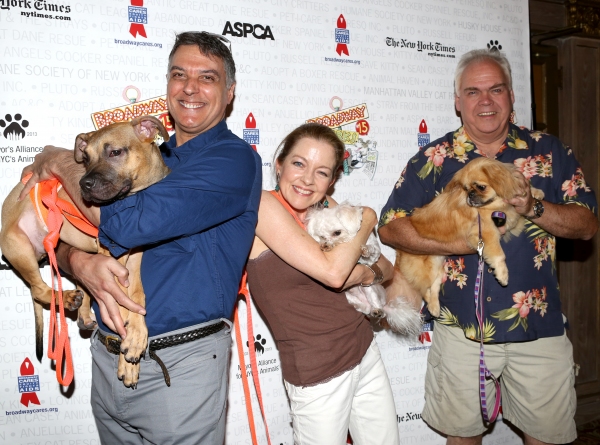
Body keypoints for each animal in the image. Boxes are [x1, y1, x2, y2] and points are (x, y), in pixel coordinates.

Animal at [0, 116, 170, 386]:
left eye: (115, 152)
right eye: (86, 157)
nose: (84, 184)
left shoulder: (133, 255)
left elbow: (136, 295)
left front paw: (135, 335)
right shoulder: (113, 257)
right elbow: (121, 303)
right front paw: (129, 349)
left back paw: (83, 310)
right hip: (18, 246)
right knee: (39, 289)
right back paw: (68, 297)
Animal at [304, 203, 422, 334]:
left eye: (337, 233)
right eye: (322, 236)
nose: (326, 245)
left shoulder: (374, 254)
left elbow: (371, 251)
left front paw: (366, 250)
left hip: (370, 289)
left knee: (377, 306)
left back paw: (377, 310)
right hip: (348, 295)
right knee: (365, 309)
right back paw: (361, 307)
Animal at [394, 156, 544, 316]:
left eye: (481, 187)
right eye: (466, 189)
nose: (470, 195)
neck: (493, 205)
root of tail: (399, 252)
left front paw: (535, 193)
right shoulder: (485, 232)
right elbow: (499, 255)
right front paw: (503, 275)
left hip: (439, 264)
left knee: (434, 285)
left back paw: (434, 308)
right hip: (427, 268)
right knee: (423, 289)